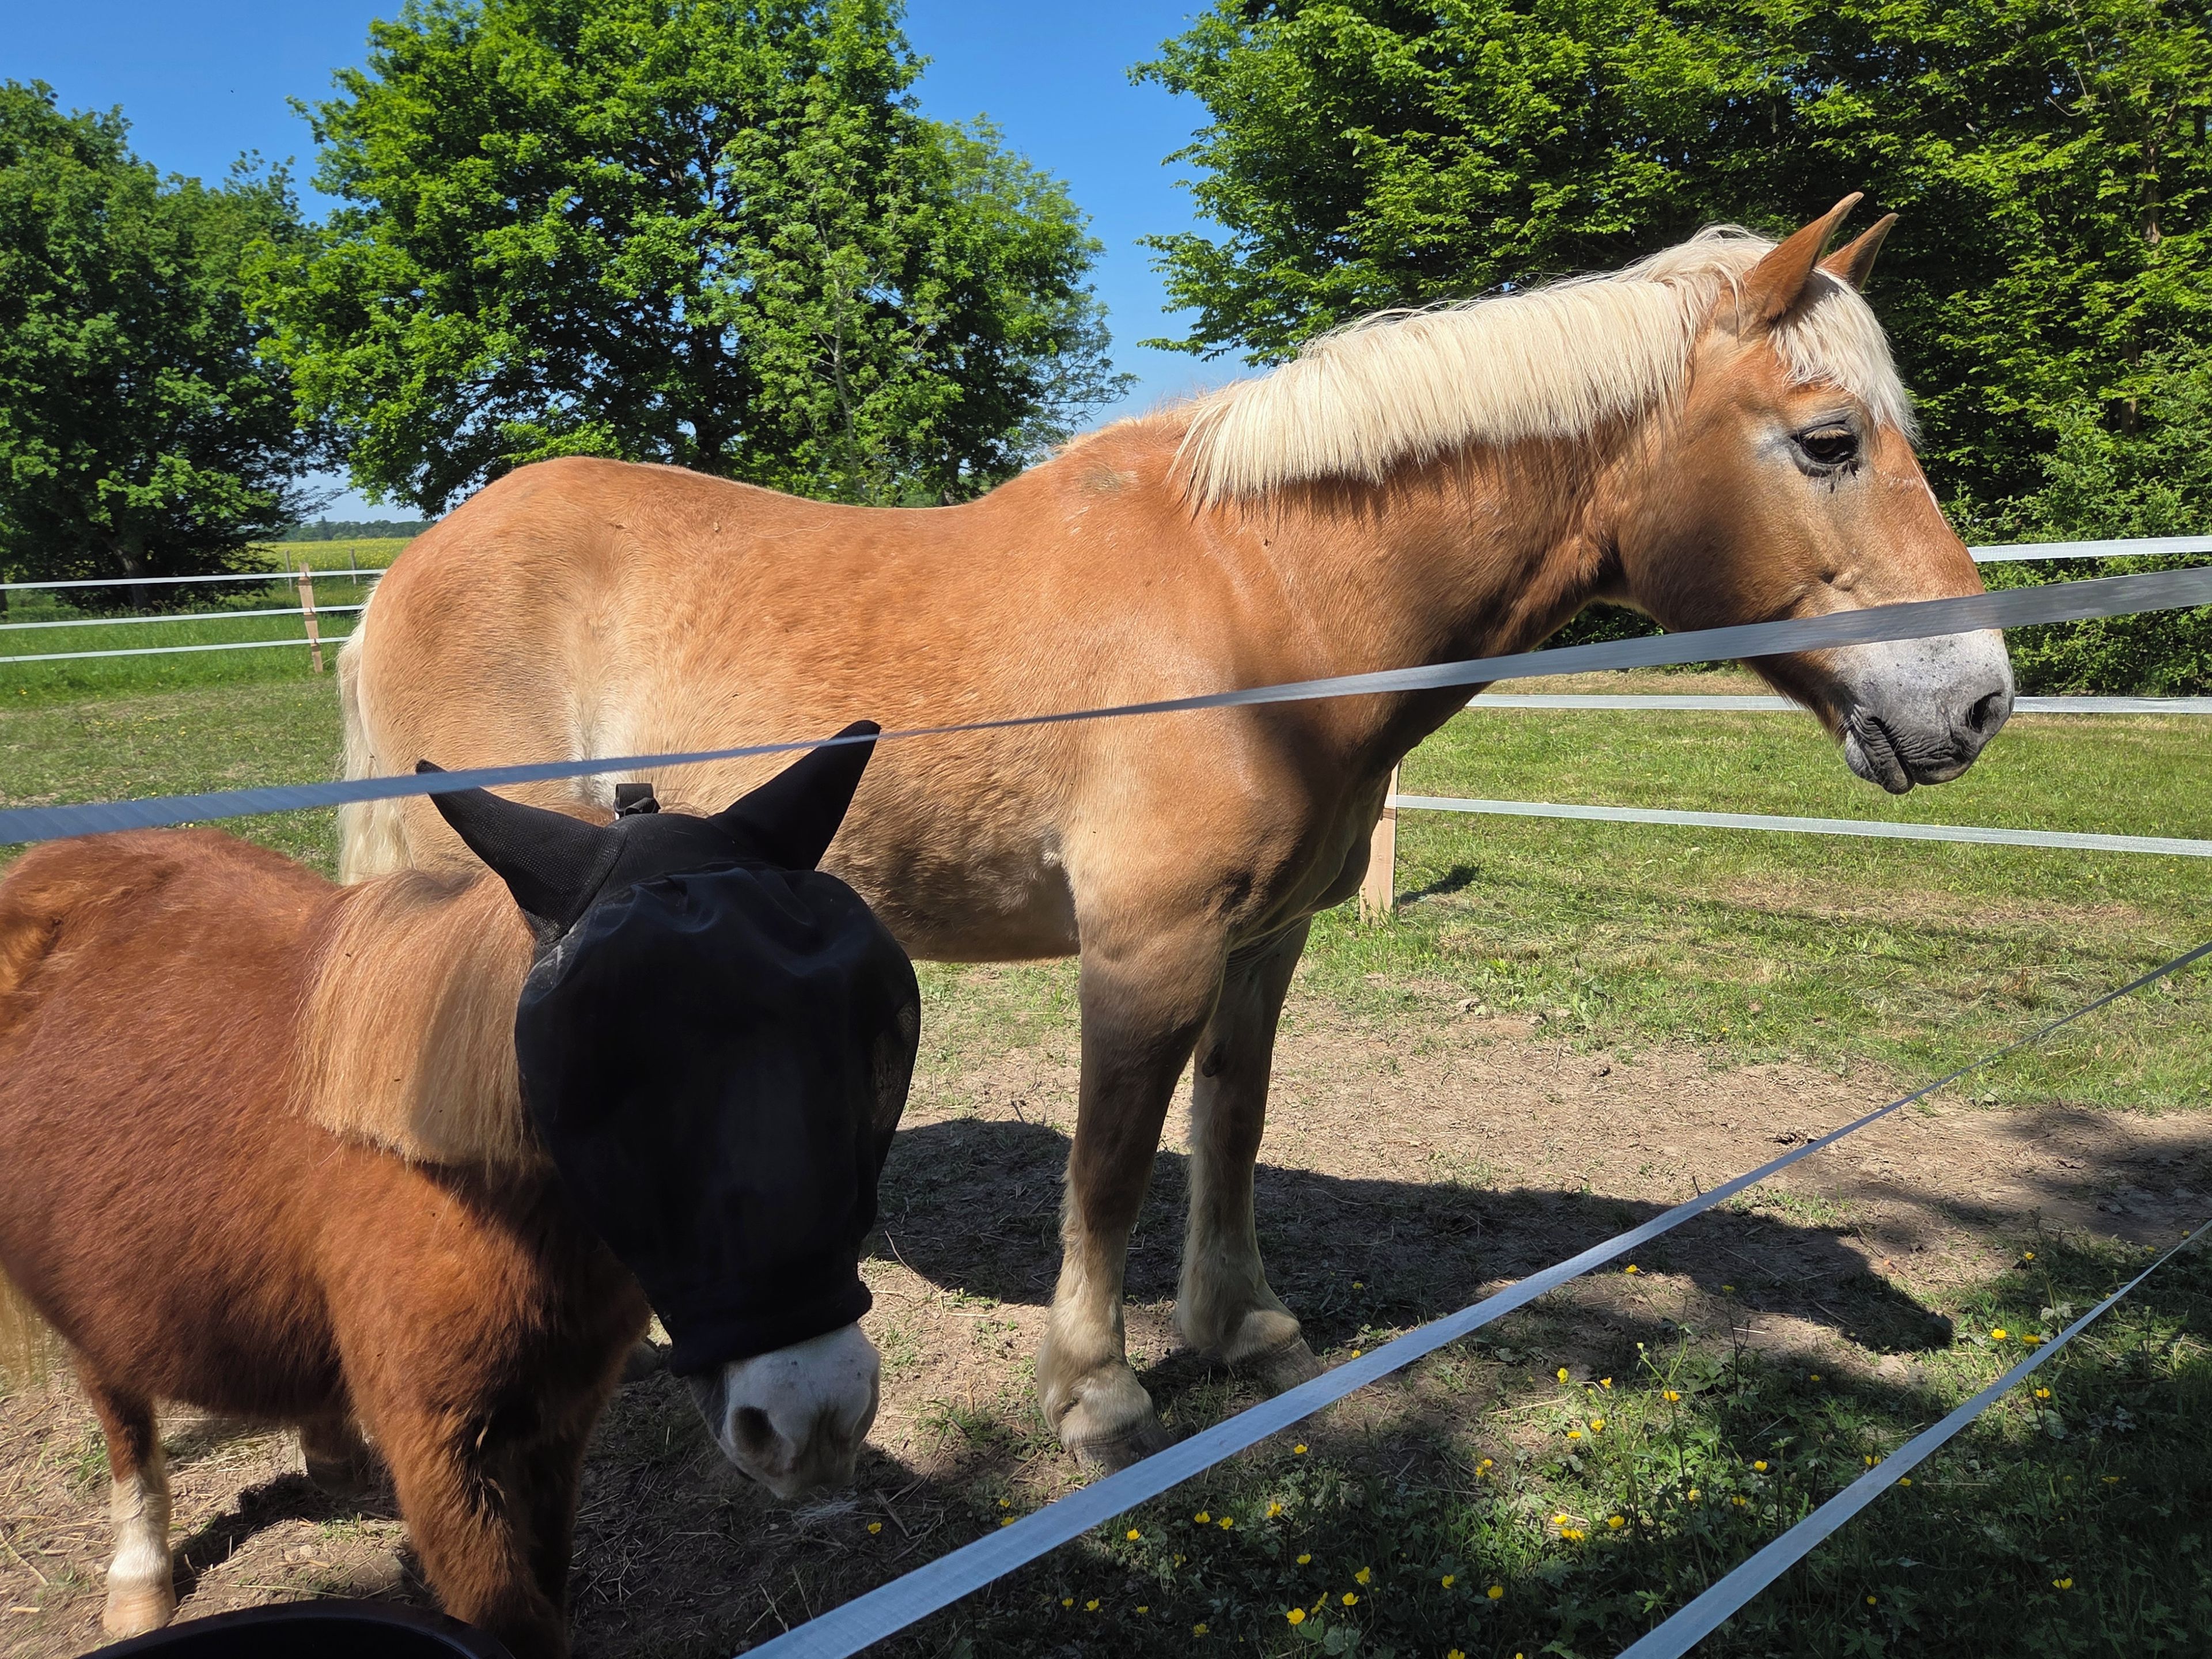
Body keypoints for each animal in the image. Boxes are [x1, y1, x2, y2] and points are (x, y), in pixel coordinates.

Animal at [0, 733, 920, 1656]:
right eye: (605, 1064)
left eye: (864, 1032)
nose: (815, 1413)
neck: (478, 1197)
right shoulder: (442, 1456)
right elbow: (511, 1622)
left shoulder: (559, 1423)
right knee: (119, 1405)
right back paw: (139, 1573)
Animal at [332, 197, 2015, 1470]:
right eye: (1827, 440)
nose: (1979, 700)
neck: (1254, 603)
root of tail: (409, 568)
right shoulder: (1142, 949)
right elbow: (1113, 1164)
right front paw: (1098, 1393)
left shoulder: (1263, 943)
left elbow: (1233, 1129)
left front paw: (1242, 1330)